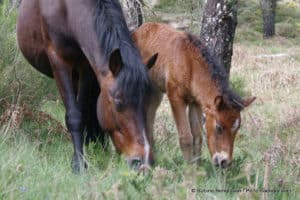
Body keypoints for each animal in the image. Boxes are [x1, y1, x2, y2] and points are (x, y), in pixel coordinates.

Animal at [16, 0, 157, 172]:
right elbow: (75, 115)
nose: (144, 162)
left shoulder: (86, 66)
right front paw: (78, 163)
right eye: (118, 102)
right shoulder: (59, 61)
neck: (66, 10)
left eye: (148, 103)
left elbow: (84, 111)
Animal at [132, 22, 255, 168]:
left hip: (156, 93)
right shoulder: (176, 98)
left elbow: (197, 136)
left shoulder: (195, 103)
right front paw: (188, 169)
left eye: (237, 127)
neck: (189, 62)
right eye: (219, 127)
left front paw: (197, 167)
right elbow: (186, 137)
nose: (224, 162)